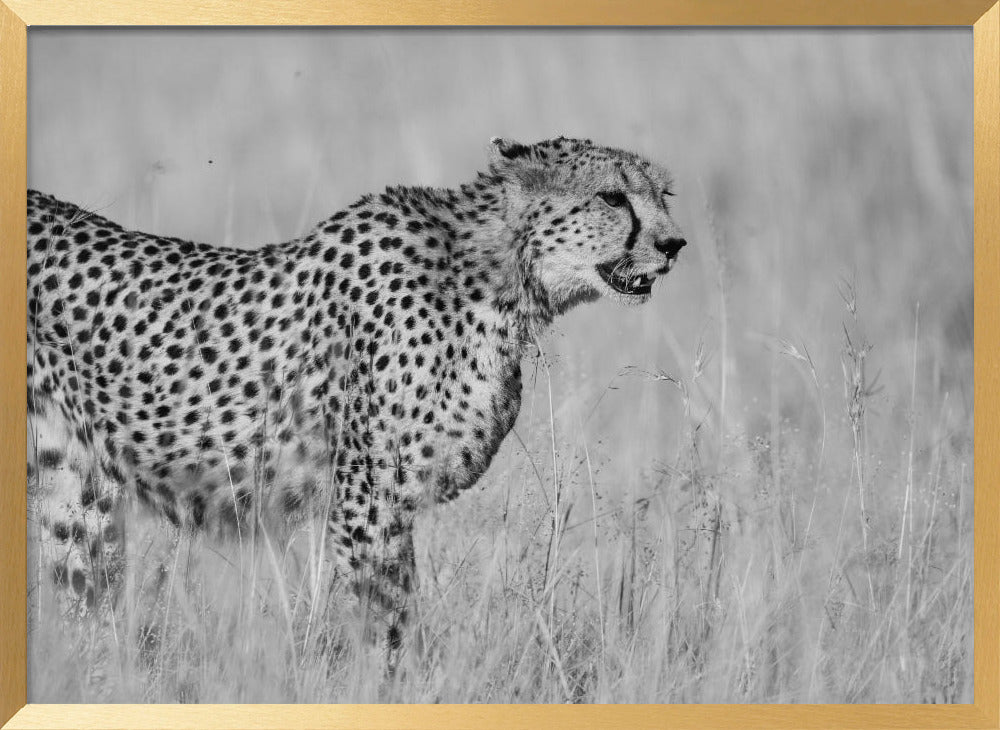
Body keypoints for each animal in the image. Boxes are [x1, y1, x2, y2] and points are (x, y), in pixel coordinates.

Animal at [26, 136, 687, 657]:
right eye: (612, 197)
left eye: (663, 195)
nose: (674, 244)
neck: (495, 276)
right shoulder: (368, 499)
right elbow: (385, 619)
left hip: (72, 489)